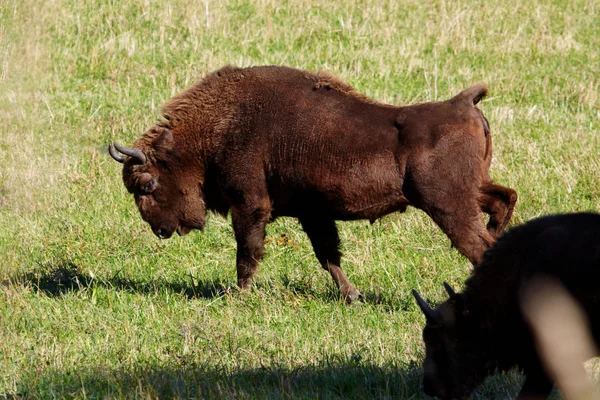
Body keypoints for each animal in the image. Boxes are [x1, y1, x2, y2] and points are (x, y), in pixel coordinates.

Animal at [108, 65, 516, 302]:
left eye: (146, 184)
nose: (161, 230)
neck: (220, 125)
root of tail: (462, 103)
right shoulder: (313, 214)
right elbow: (328, 256)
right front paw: (352, 296)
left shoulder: (250, 205)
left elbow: (247, 252)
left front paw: (237, 295)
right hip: (472, 191)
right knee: (504, 200)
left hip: (449, 206)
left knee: (478, 244)